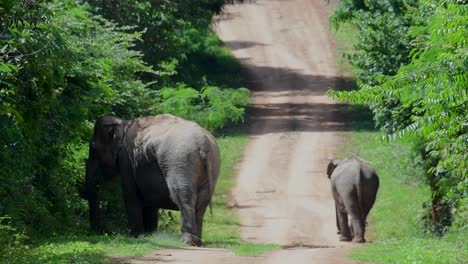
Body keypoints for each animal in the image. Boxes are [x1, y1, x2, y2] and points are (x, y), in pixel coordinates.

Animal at [79, 113, 220, 245]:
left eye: (93, 148)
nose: (100, 231)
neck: (122, 123)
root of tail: (203, 143)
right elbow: (150, 200)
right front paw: (150, 235)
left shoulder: (127, 160)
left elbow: (130, 194)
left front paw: (135, 236)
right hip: (212, 163)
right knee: (202, 203)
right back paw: (197, 242)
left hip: (180, 161)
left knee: (183, 198)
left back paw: (187, 242)